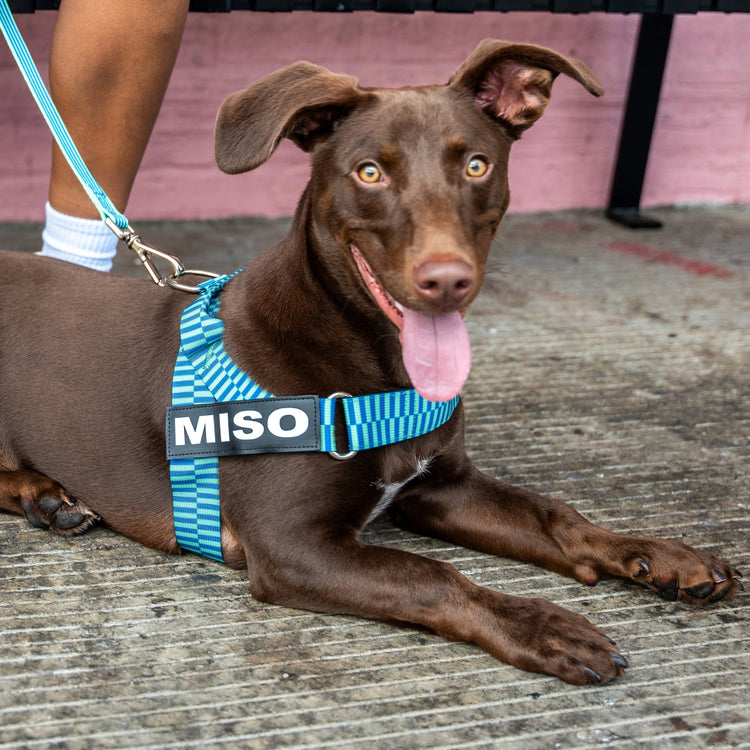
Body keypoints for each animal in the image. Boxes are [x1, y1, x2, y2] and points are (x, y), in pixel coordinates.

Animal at [0, 41, 740, 688]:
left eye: (477, 165)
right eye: (369, 172)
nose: (446, 281)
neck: (374, 367)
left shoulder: (443, 489)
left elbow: (557, 516)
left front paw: (661, 555)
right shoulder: (292, 546)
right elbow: (432, 576)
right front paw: (541, 625)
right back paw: (43, 493)